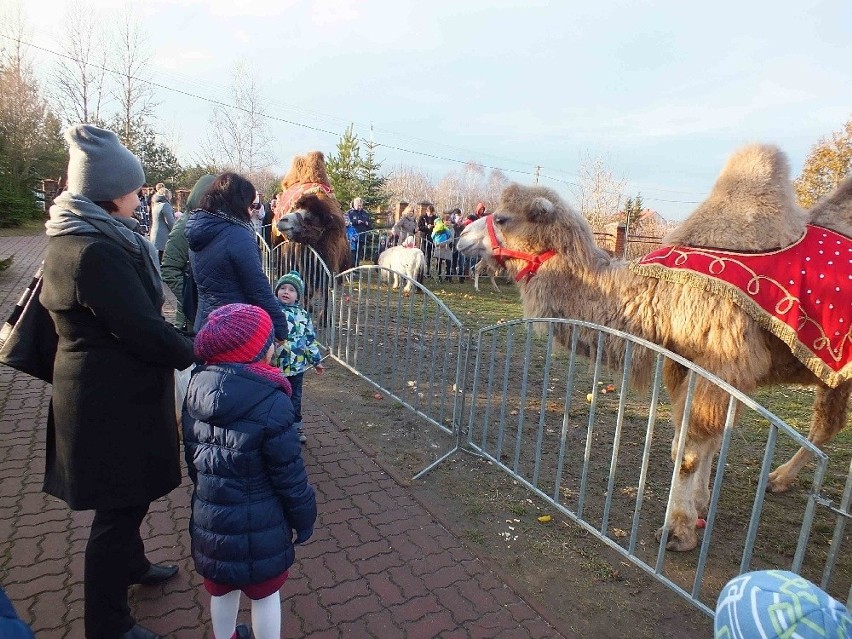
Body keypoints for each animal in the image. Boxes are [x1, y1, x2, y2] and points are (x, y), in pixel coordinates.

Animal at [456, 144, 852, 552]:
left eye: (503, 218)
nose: (460, 236)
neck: (661, 294)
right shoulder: (687, 362)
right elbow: (696, 443)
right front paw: (699, 504)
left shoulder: (724, 364)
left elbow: (688, 451)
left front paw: (678, 530)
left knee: (826, 426)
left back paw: (779, 479)